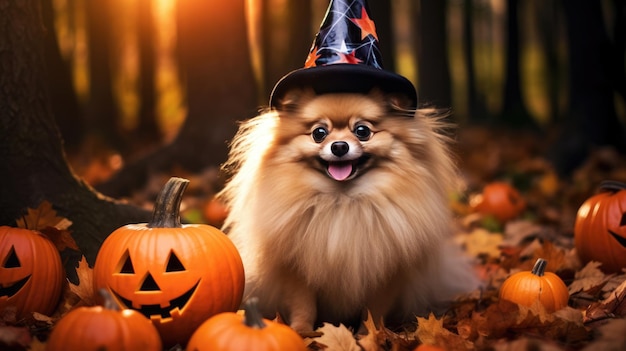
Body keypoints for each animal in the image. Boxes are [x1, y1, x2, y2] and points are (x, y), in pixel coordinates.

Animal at [219, 89, 478, 334]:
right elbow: (303, 305)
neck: (342, 202)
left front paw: (369, 335)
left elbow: (374, 310)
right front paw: (302, 331)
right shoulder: (297, 269)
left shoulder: (386, 272)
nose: (340, 146)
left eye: (362, 131)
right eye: (319, 133)